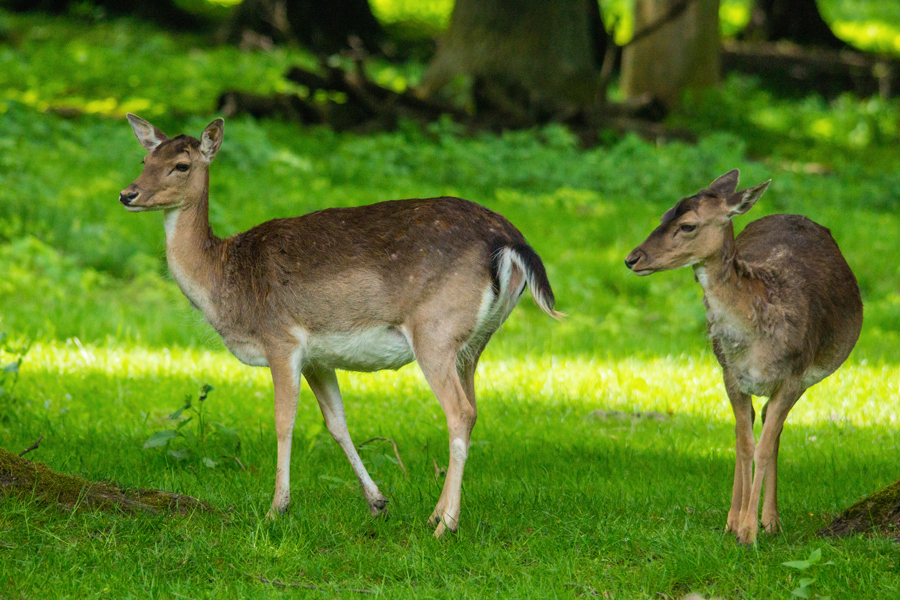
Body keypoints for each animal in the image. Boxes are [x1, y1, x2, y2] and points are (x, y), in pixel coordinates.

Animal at [116, 115, 560, 536]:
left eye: (181, 164)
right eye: (144, 160)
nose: (127, 194)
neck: (227, 284)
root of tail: (511, 242)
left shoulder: (281, 339)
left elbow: (283, 421)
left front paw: (276, 509)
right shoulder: (318, 358)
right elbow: (337, 423)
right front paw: (378, 502)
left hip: (435, 329)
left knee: (461, 412)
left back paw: (445, 525)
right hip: (474, 341)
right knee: (474, 408)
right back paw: (436, 514)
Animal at [624, 169, 860, 544]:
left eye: (687, 225)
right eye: (663, 215)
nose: (632, 259)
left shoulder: (794, 374)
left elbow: (762, 445)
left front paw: (750, 533)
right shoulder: (730, 375)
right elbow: (744, 443)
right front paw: (737, 526)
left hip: (809, 374)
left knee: (771, 428)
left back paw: (770, 520)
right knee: (749, 424)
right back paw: (742, 518)